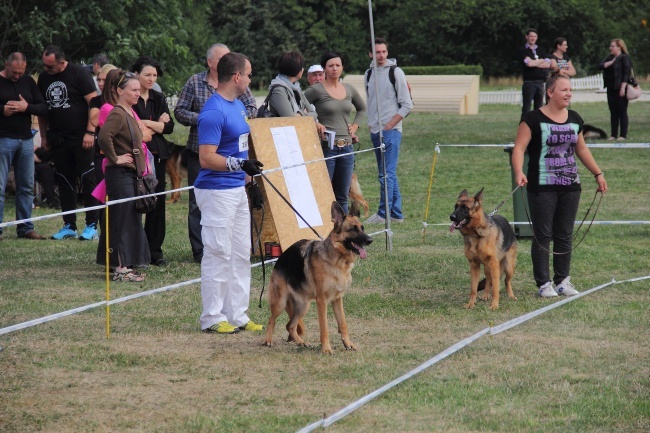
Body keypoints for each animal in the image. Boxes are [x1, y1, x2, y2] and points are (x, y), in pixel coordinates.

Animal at [262, 201, 372, 352]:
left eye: (362, 228)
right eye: (352, 229)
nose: (370, 240)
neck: (337, 261)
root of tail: (280, 258)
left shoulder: (337, 299)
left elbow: (343, 323)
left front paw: (348, 343)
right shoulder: (322, 301)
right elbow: (324, 327)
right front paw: (326, 349)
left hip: (303, 306)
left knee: (290, 325)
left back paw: (301, 342)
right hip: (280, 302)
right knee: (271, 319)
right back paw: (268, 340)